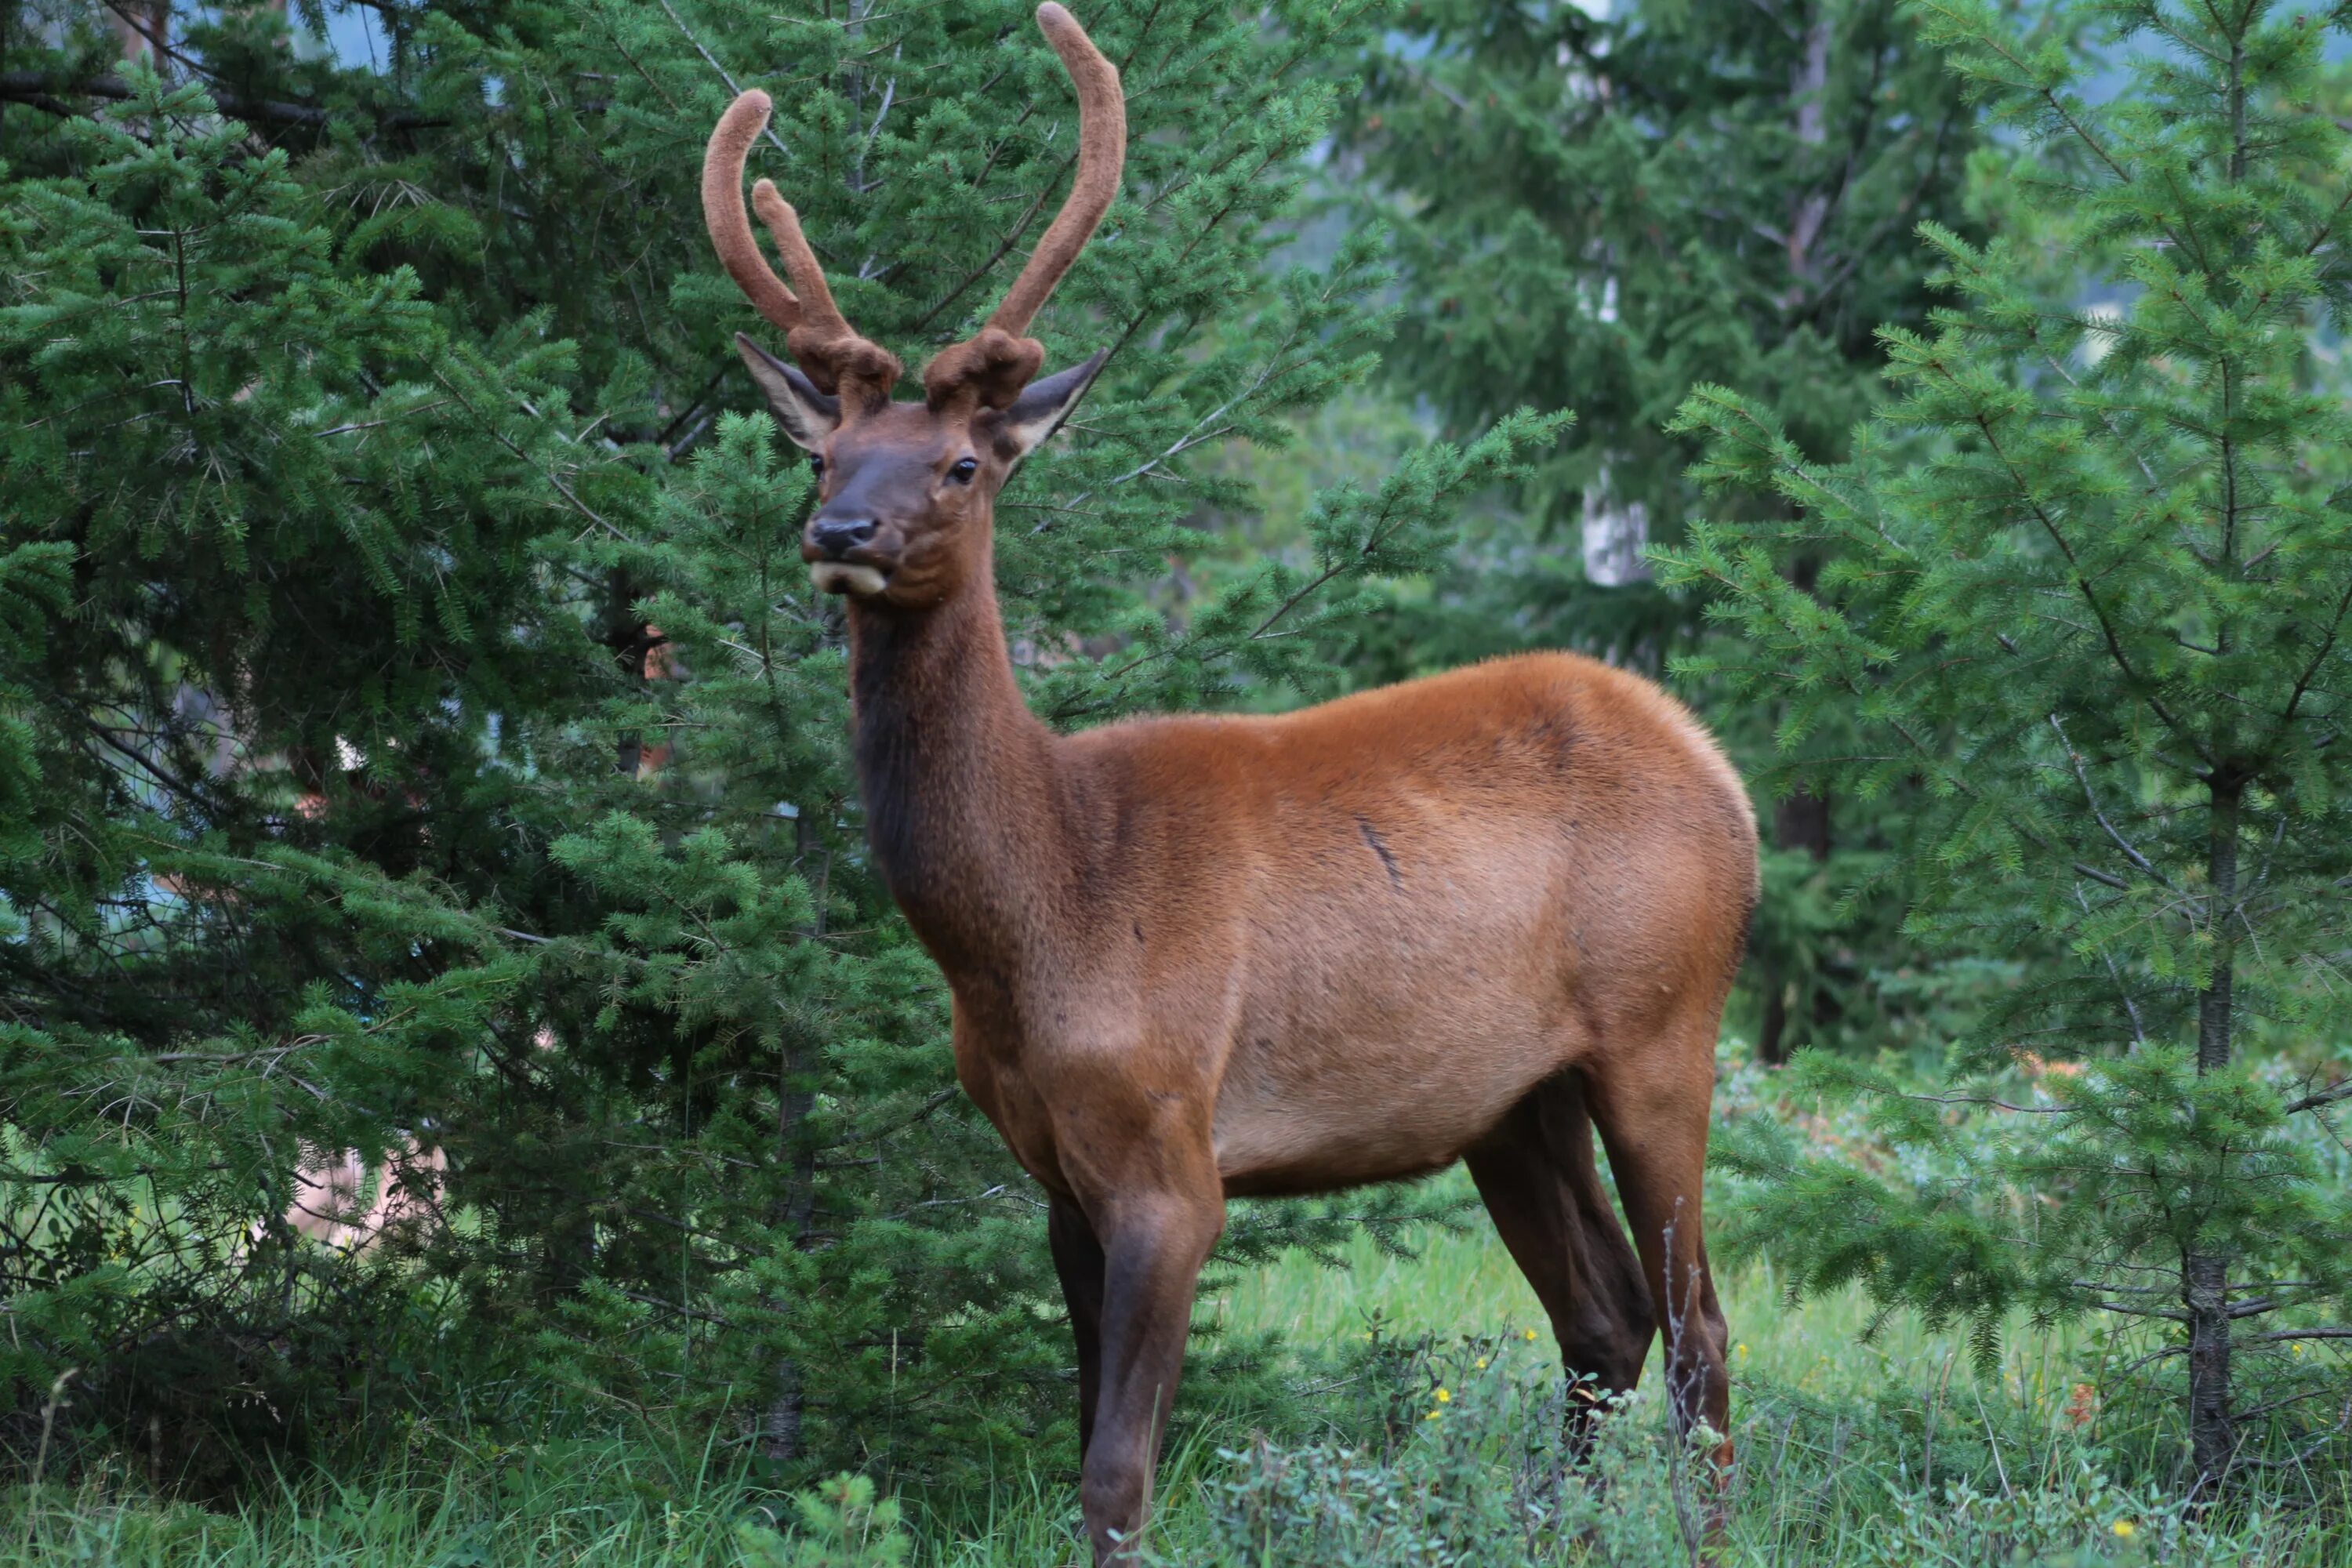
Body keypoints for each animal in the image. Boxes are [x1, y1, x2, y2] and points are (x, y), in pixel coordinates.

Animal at [687, 9, 1759, 1561]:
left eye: (958, 465)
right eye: (825, 452)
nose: (839, 532)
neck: (1035, 921)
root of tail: (1722, 778)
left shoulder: (1173, 1157)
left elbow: (1118, 1477)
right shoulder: (1053, 1174)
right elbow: (1080, 1447)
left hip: (1664, 1025)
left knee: (1700, 1333)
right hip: (1511, 1098)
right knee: (1605, 1323)